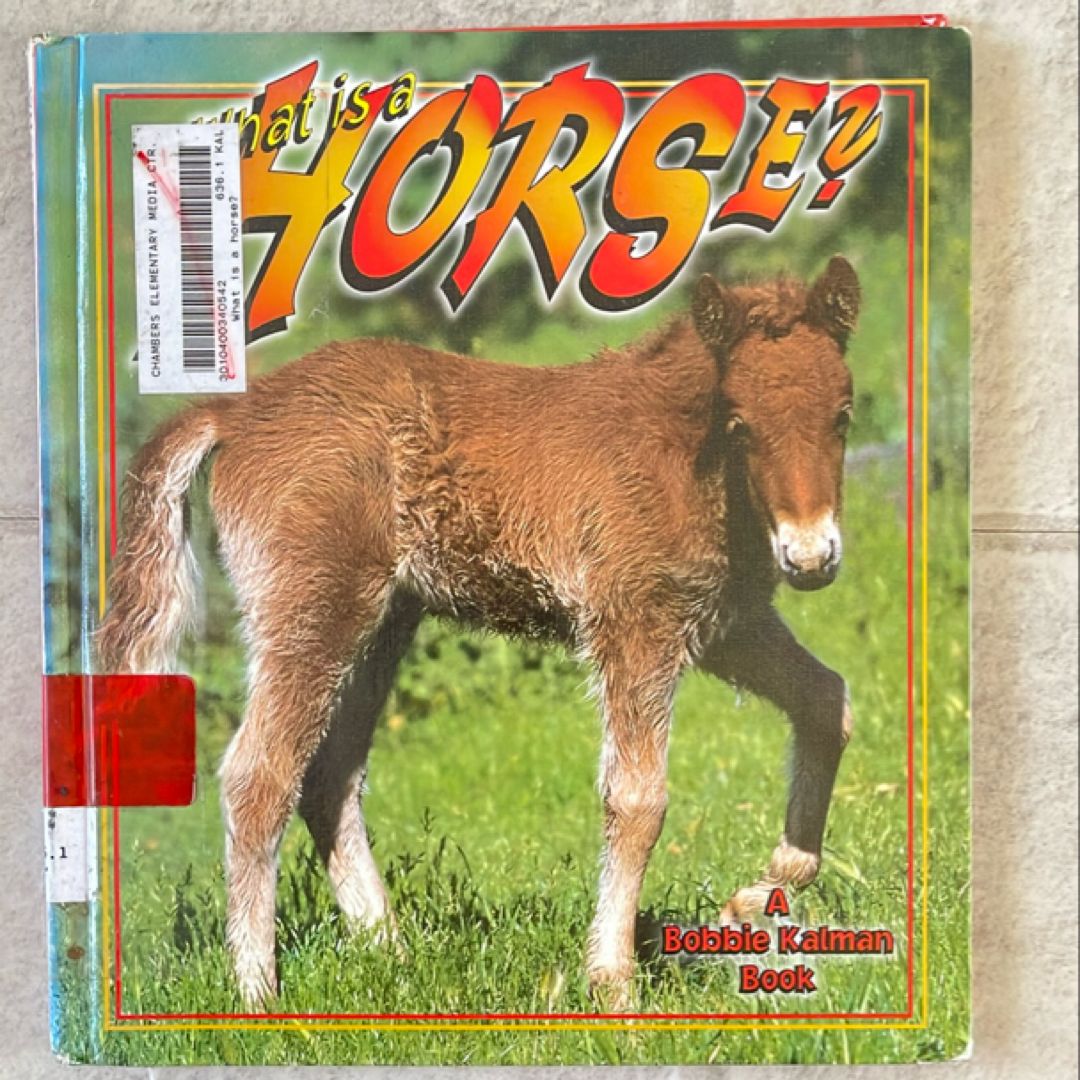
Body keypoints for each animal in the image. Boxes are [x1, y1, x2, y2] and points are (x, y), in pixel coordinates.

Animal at [97, 255, 860, 1009]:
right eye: (739, 424)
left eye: (843, 416)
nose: (811, 556)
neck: (686, 456)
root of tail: (234, 410)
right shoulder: (635, 622)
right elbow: (639, 798)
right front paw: (612, 982)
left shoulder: (727, 624)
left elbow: (828, 704)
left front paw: (752, 899)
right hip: (314, 606)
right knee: (259, 776)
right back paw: (258, 989)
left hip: (385, 623)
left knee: (329, 778)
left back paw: (391, 955)